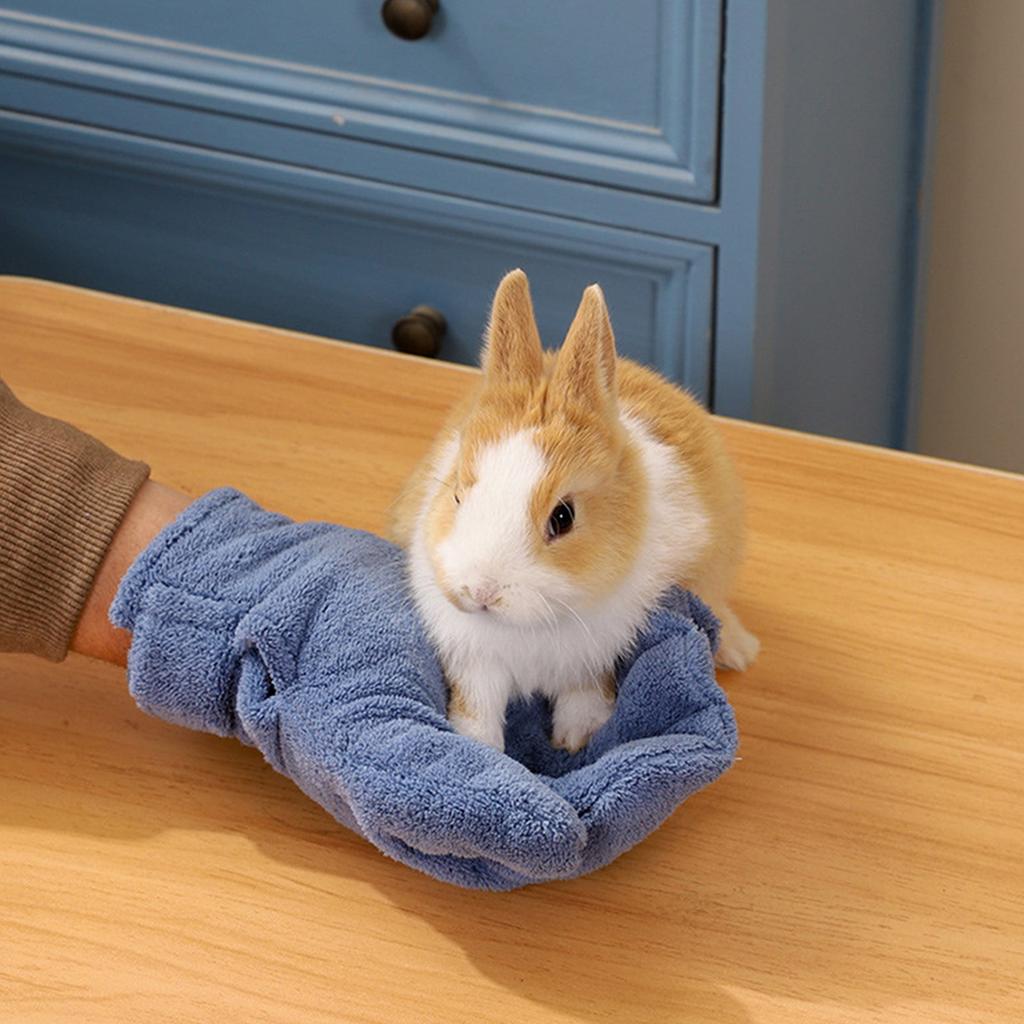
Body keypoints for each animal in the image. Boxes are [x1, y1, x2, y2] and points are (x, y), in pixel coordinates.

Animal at [391, 269, 758, 752]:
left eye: (562, 518)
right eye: (457, 494)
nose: (483, 592)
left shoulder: (595, 656)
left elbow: (586, 692)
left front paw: (577, 740)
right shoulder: (475, 661)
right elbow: (477, 705)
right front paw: (479, 746)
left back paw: (739, 650)